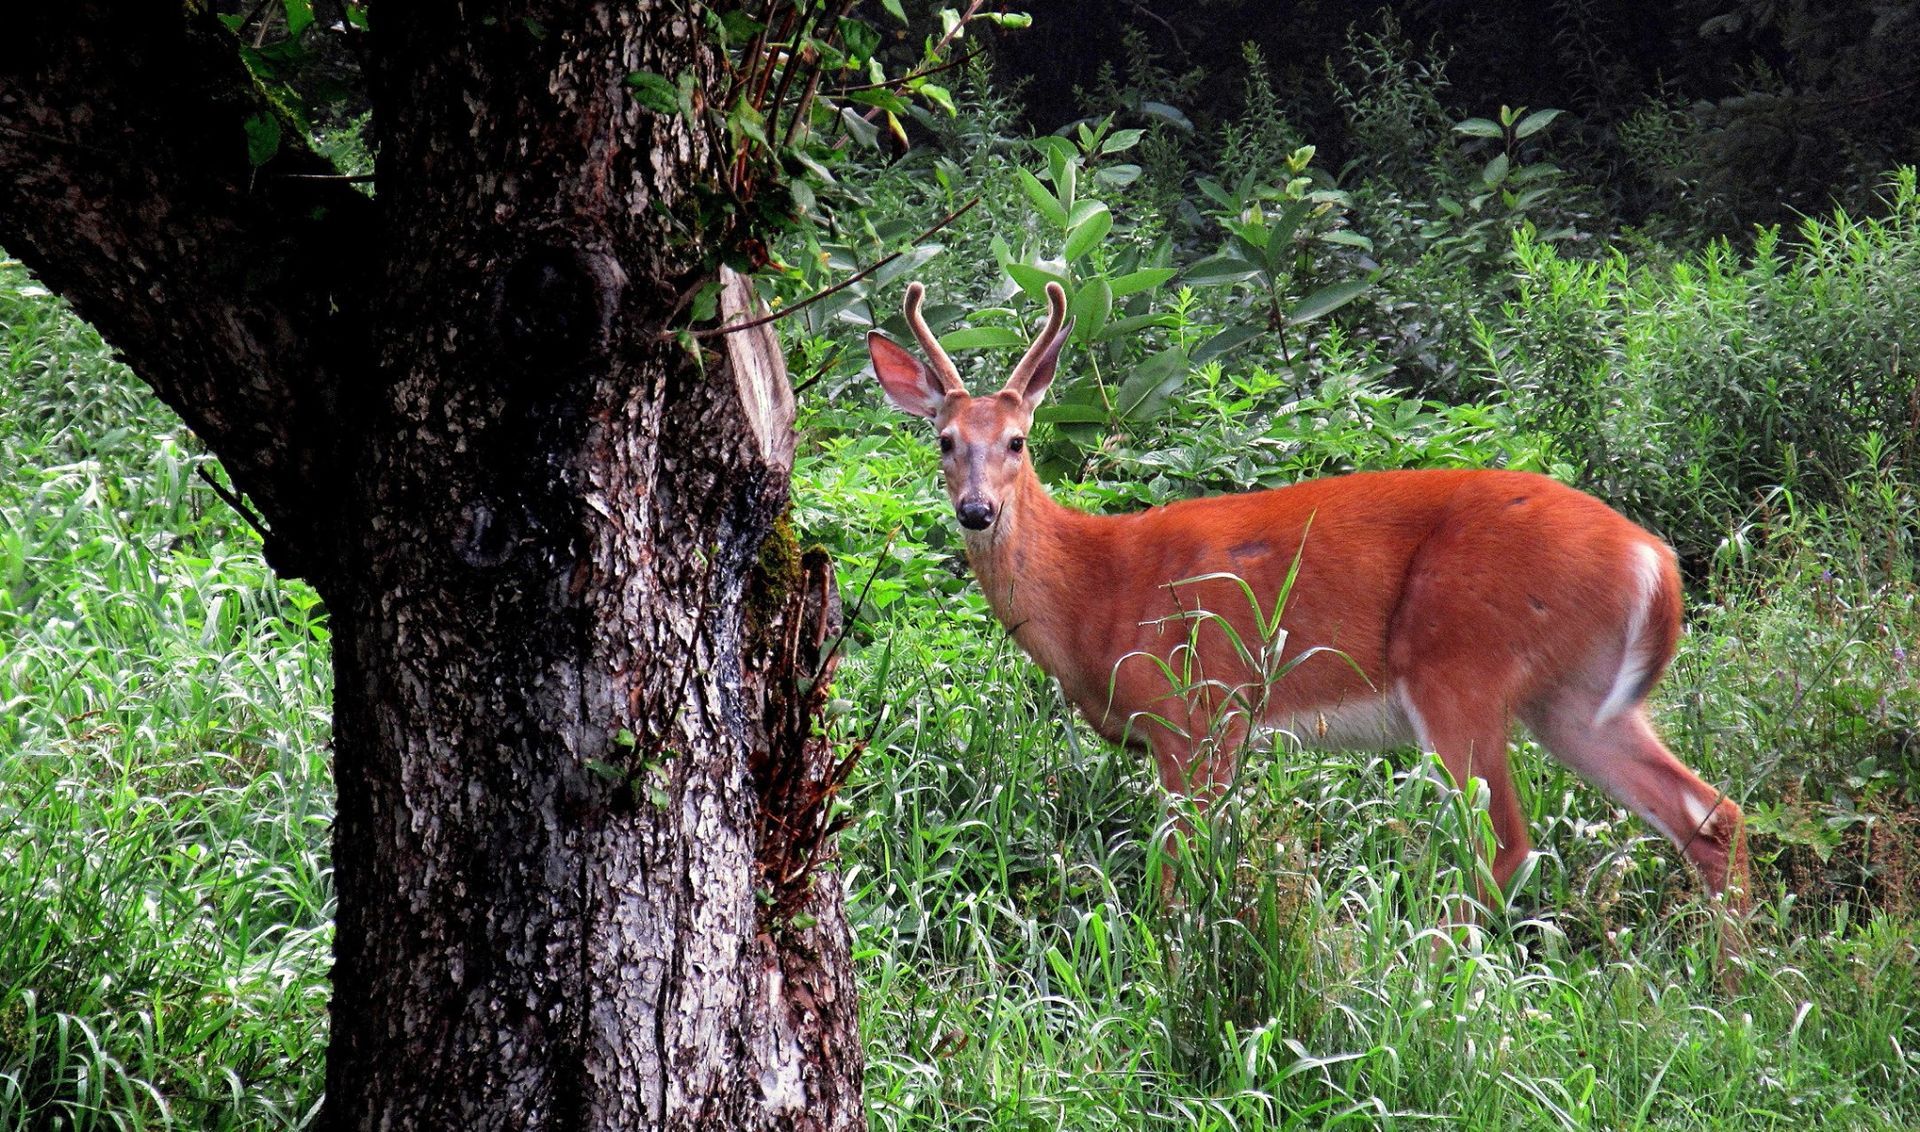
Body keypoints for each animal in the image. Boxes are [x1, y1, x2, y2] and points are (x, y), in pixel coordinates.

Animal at [871, 280, 1758, 936]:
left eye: (1017, 441)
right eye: (945, 441)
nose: (977, 511)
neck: (1097, 589)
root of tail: (1655, 561)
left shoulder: (1199, 712)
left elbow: (1178, 879)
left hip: (1460, 664)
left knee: (1503, 844)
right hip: (1575, 700)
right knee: (1711, 814)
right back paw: (1732, 979)